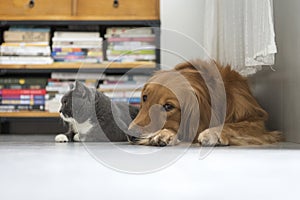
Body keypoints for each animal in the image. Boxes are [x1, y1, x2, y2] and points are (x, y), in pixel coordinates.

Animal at [127, 59, 282, 145]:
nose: (130, 134)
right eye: (145, 97)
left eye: (168, 106)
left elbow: (234, 126)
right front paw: (163, 134)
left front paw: (212, 133)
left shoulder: (258, 121)